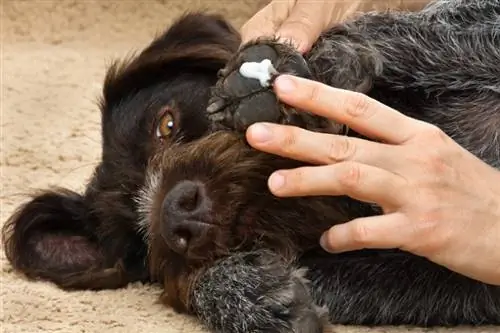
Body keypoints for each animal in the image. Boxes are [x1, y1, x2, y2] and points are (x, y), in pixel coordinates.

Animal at [3, 0, 500, 332]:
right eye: (139, 245)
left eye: (166, 124)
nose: (176, 214)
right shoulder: (455, 282)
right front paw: (242, 293)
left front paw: (313, 65)